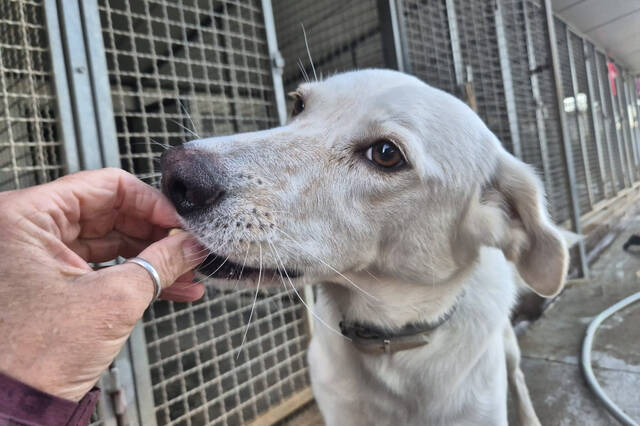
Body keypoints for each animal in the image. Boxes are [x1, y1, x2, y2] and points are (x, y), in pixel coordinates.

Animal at [160, 69, 568, 425]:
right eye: (298, 104)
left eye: (386, 153)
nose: (174, 174)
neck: (388, 343)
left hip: (507, 345)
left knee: (517, 377)